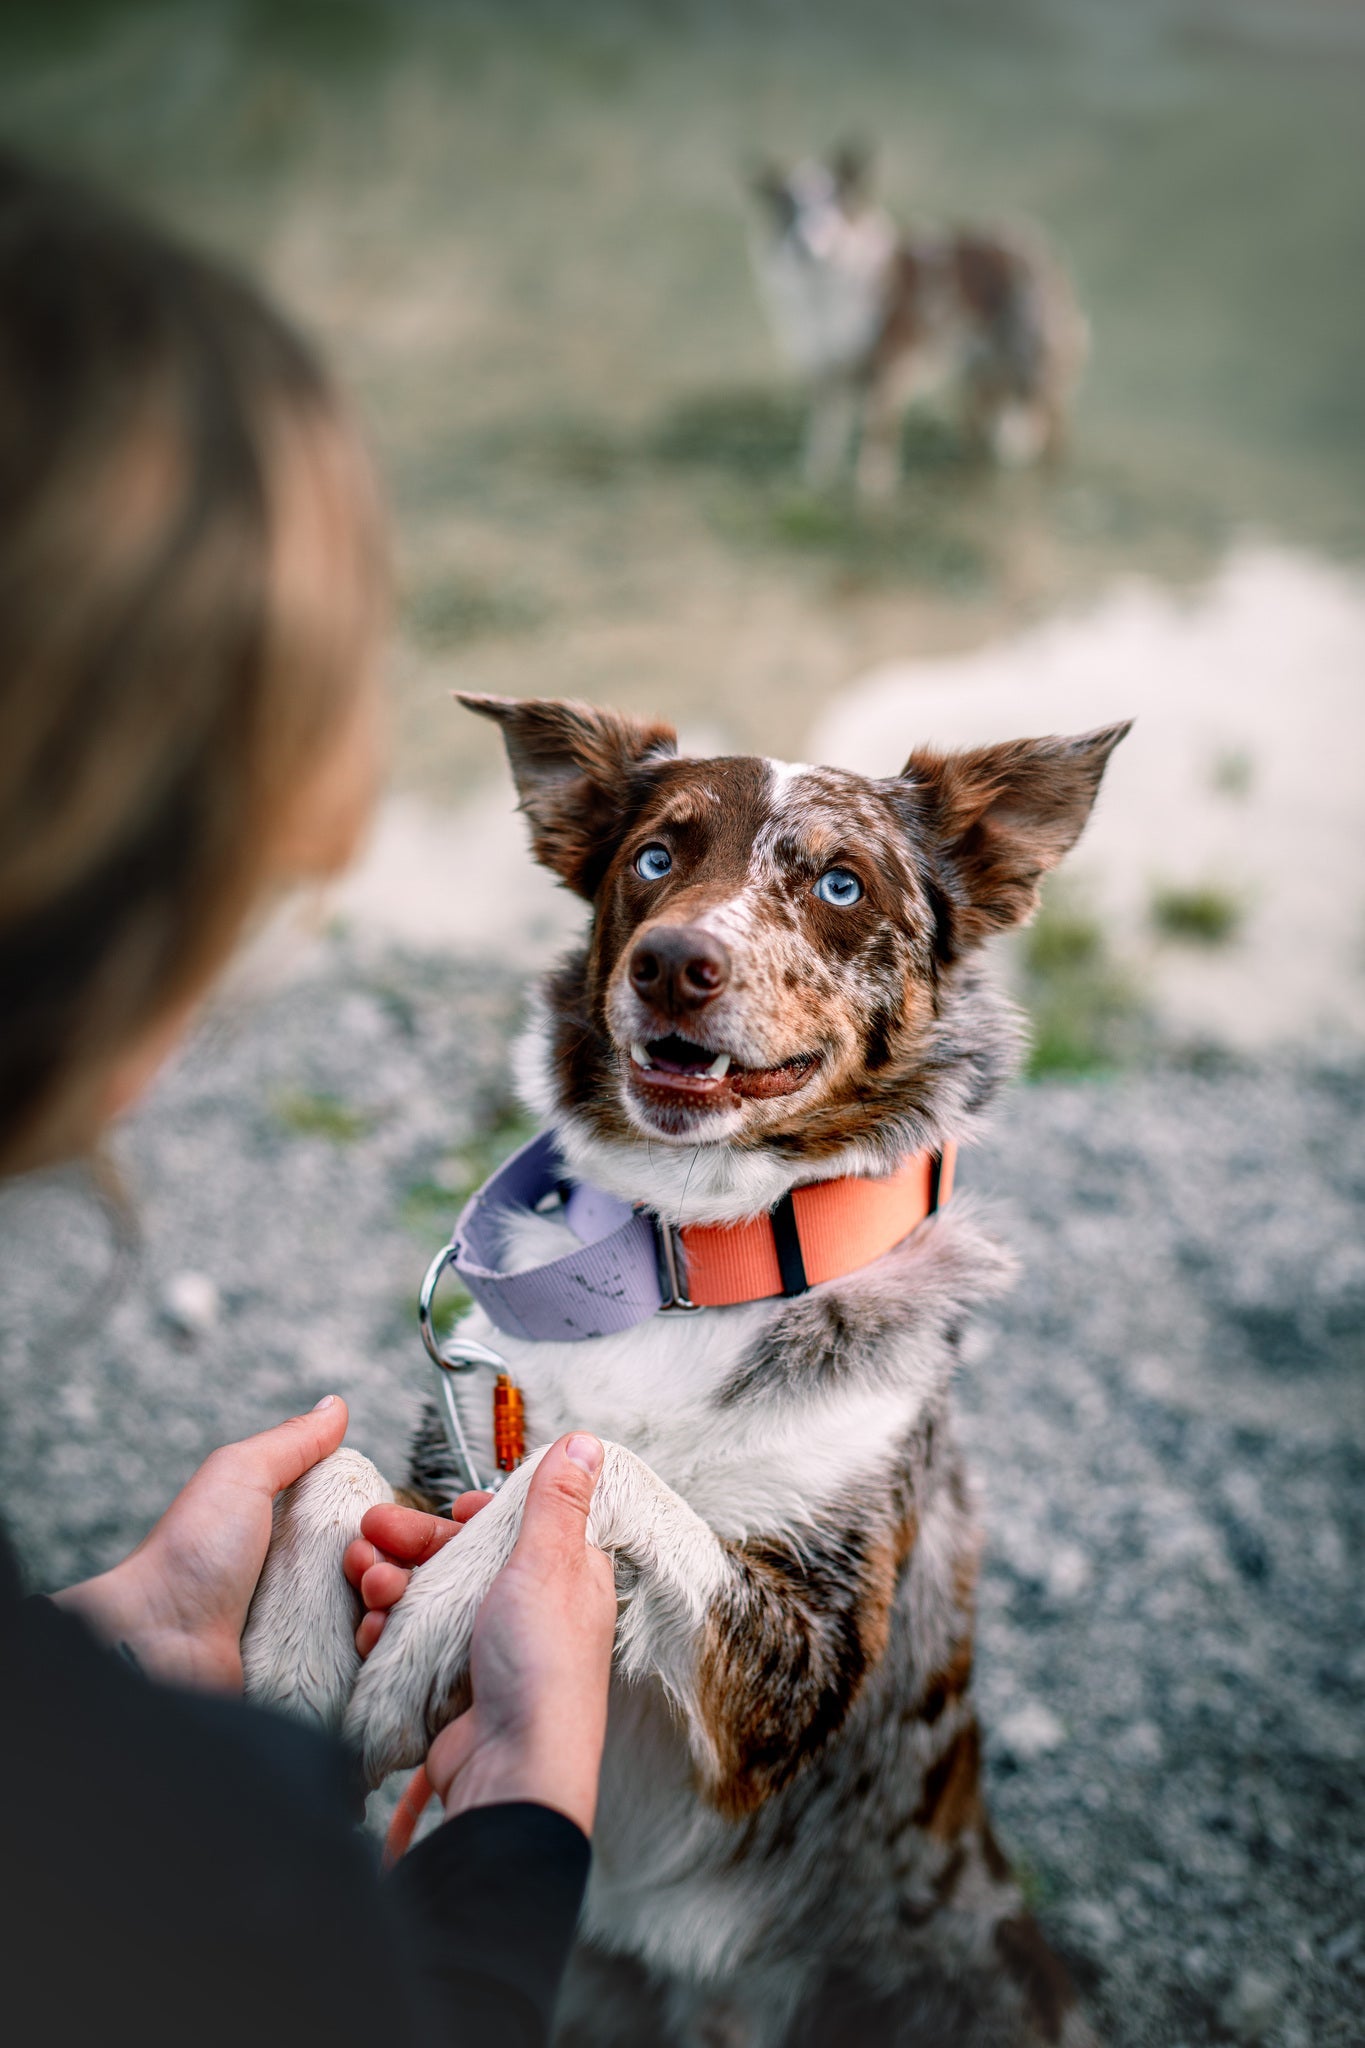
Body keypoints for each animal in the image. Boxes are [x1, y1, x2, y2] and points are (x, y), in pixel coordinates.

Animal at [242, 696, 1129, 2039]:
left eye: (839, 881)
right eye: (656, 857)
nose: (671, 962)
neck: (690, 1258)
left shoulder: (802, 1672)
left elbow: (593, 1462)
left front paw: (429, 1631)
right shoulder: (458, 1457)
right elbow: (336, 1467)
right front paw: (290, 1664)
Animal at [749, 145, 1088, 495]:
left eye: (837, 206)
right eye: (788, 210)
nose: (805, 245)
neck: (823, 285)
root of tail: (1040, 247)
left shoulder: (889, 367)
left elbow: (877, 430)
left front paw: (872, 485)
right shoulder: (827, 372)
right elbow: (824, 433)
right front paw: (818, 479)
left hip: (1029, 367)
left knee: (1044, 428)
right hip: (979, 376)